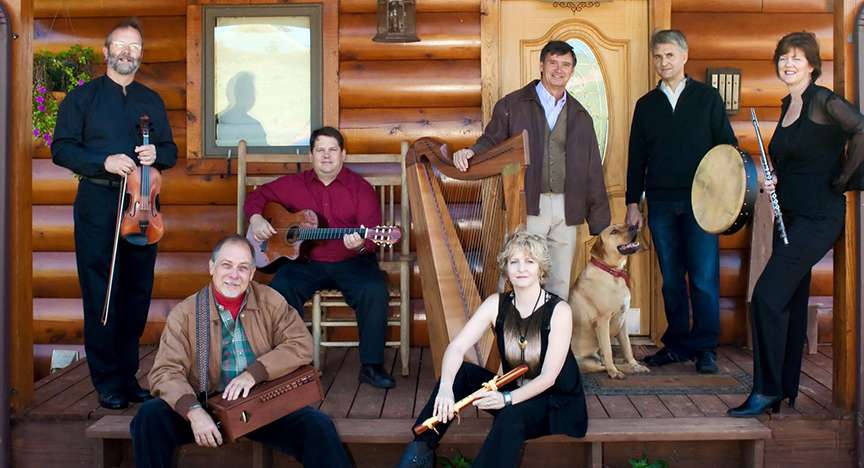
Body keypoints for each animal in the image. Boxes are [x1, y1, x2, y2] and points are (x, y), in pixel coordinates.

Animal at [568, 224, 648, 380]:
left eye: (624, 225)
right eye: (614, 231)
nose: (634, 226)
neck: (612, 272)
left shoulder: (623, 321)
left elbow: (627, 347)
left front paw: (634, 364)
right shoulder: (602, 320)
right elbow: (608, 350)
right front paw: (615, 371)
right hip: (587, 362)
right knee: (602, 365)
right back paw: (618, 369)